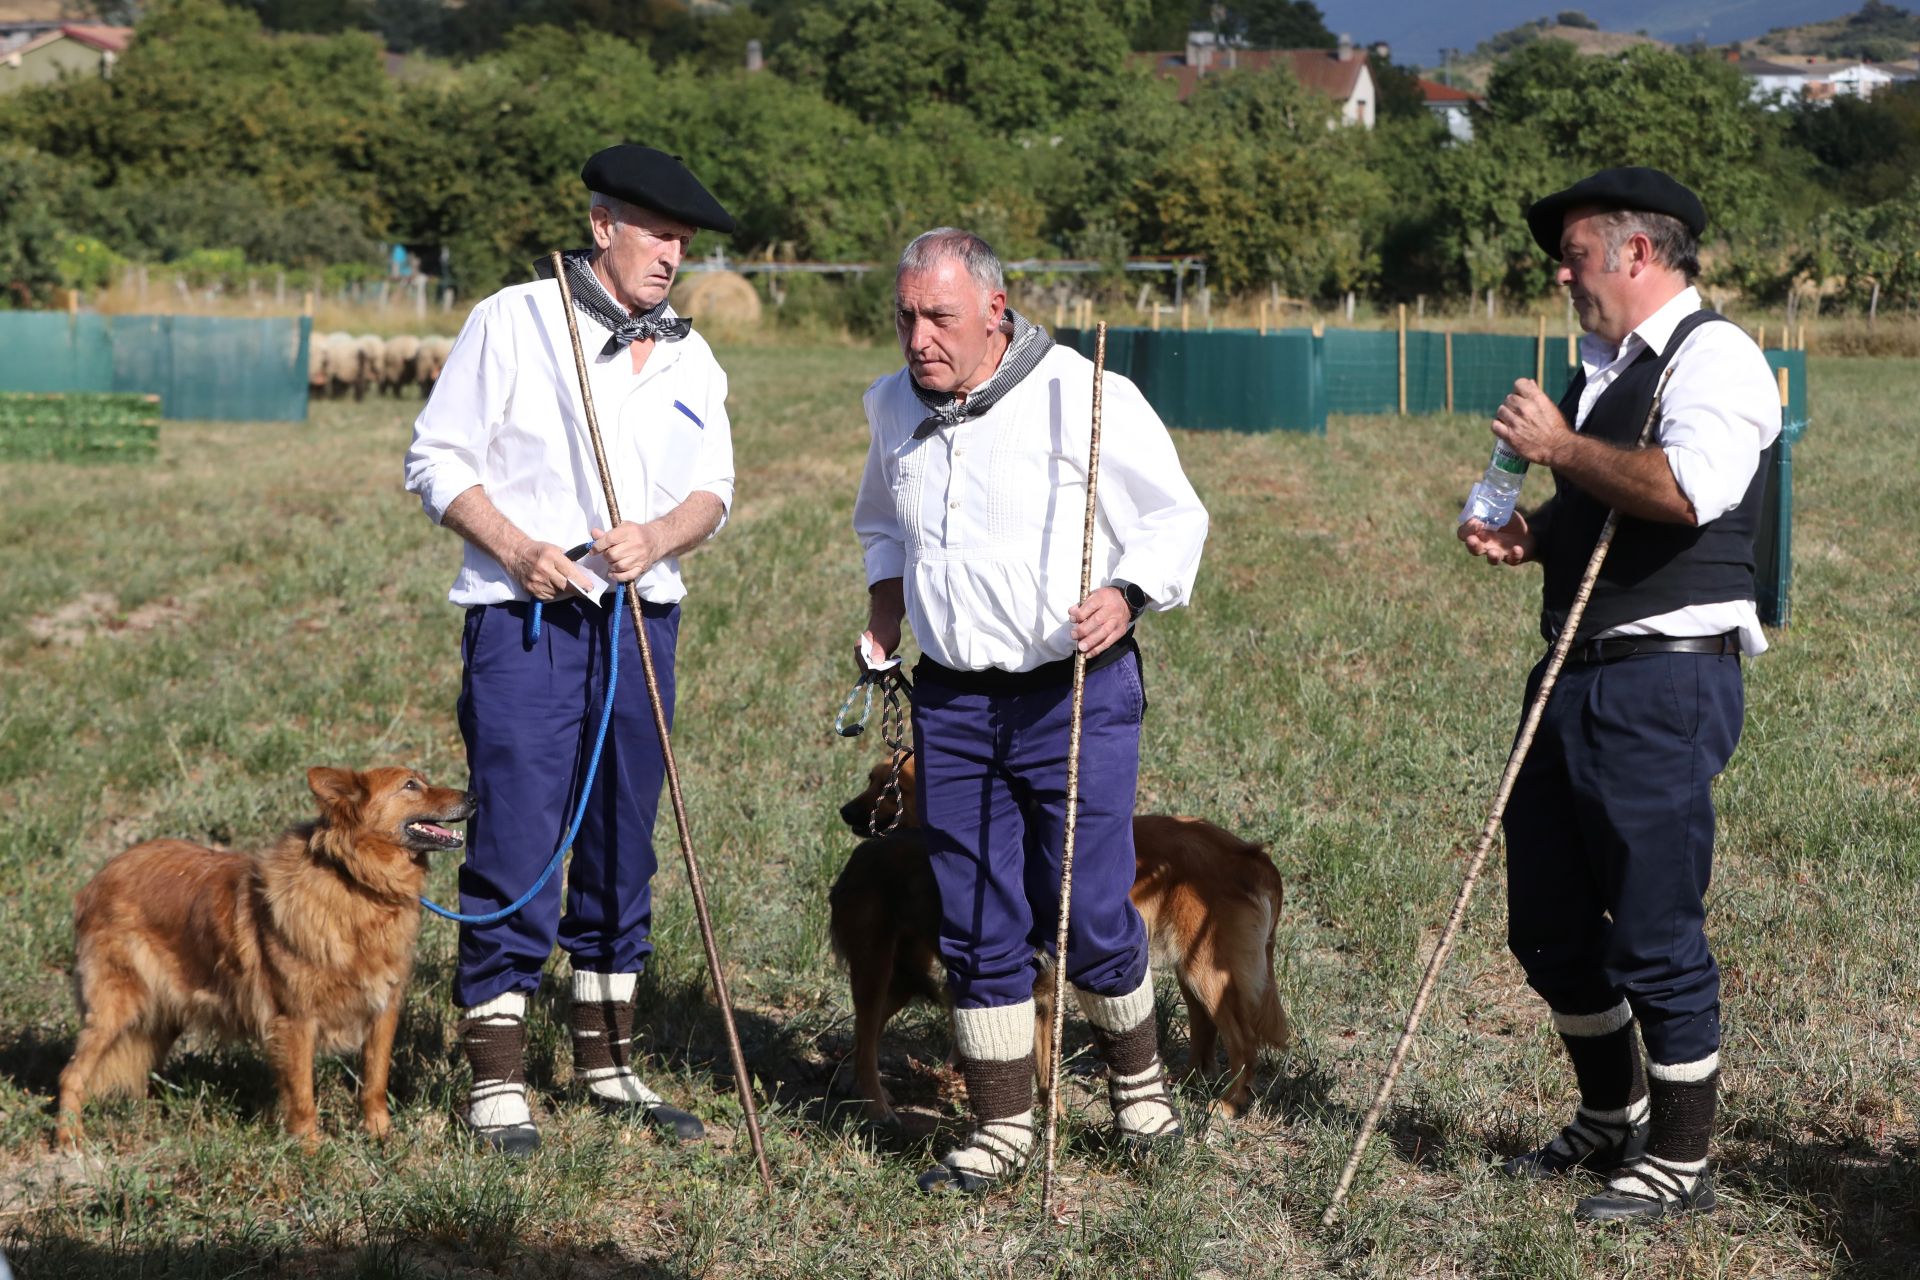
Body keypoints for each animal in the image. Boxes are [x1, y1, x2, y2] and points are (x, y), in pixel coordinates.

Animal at [54, 767, 474, 1143]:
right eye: (411, 785)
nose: (473, 797)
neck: (355, 882)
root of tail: (97, 880)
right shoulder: (296, 1020)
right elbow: (302, 1094)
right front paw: (308, 1150)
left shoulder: (383, 1010)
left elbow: (374, 1081)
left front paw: (380, 1137)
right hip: (116, 1008)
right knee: (71, 1075)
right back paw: (70, 1139)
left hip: (162, 1013)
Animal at [829, 756, 1290, 1128]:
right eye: (871, 780)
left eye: (893, 788)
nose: (845, 811)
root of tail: (1254, 856)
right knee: (864, 1035)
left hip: (1206, 971)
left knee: (1242, 1041)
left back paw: (1228, 1104)